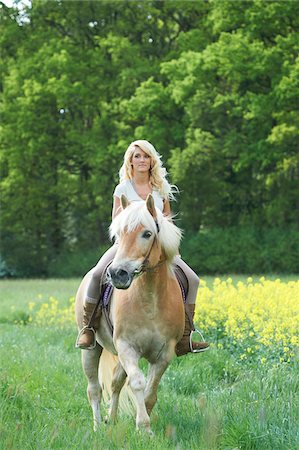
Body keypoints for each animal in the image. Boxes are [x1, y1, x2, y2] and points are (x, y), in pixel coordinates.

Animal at [74, 193, 185, 432]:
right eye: (119, 234)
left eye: (147, 233)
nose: (117, 273)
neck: (150, 300)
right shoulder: (127, 347)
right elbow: (137, 383)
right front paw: (143, 427)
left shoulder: (164, 354)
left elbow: (150, 392)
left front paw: (146, 424)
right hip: (91, 349)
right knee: (94, 389)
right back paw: (98, 427)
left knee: (115, 383)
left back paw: (112, 418)